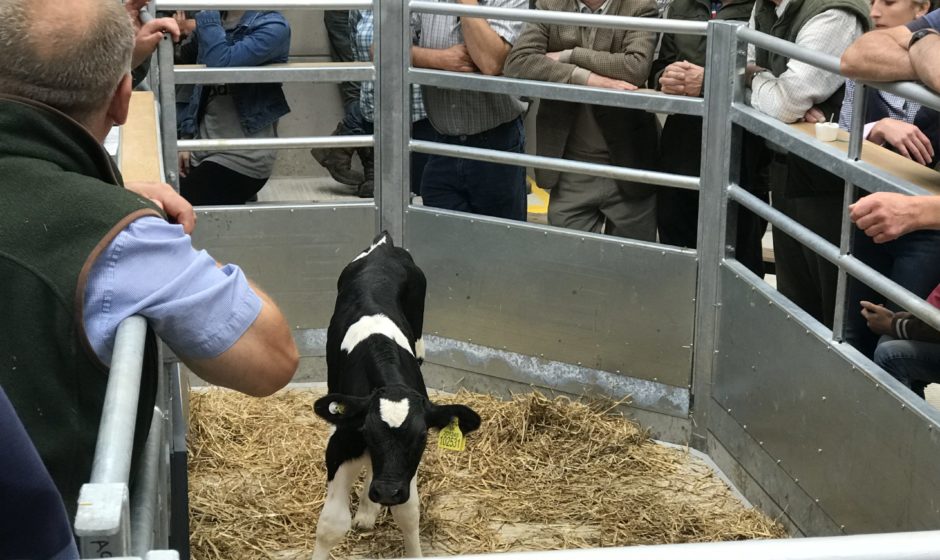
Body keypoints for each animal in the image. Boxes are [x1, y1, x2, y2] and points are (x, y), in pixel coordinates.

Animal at [312, 233, 482, 560]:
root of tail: (384, 245)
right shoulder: (341, 443)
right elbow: (331, 524)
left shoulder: (408, 466)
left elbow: (408, 513)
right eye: (367, 432)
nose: (388, 492)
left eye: (423, 436)